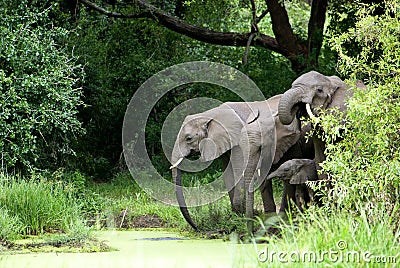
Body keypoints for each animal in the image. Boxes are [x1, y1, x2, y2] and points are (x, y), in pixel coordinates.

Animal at [169, 94, 312, 232]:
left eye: (188, 138)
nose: (197, 228)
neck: (211, 114)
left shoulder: (237, 139)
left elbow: (239, 172)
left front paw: (249, 214)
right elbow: (228, 174)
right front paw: (238, 216)